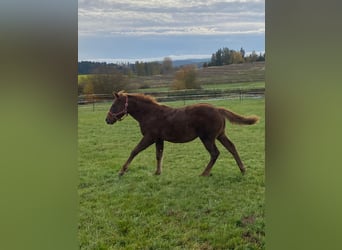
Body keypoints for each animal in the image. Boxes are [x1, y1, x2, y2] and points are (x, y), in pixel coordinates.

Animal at [105, 91, 258, 176]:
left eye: (114, 105)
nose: (107, 120)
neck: (150, 114)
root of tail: (218, 109)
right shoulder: (159, 139)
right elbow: (159, 154)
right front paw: (157, 172)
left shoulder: (149, 137)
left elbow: (135, 151)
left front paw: (122, 171)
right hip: (220, 135)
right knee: (231, 147)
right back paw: (243, 169)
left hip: (207, 138)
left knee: (215, 153)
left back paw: (204, 173)